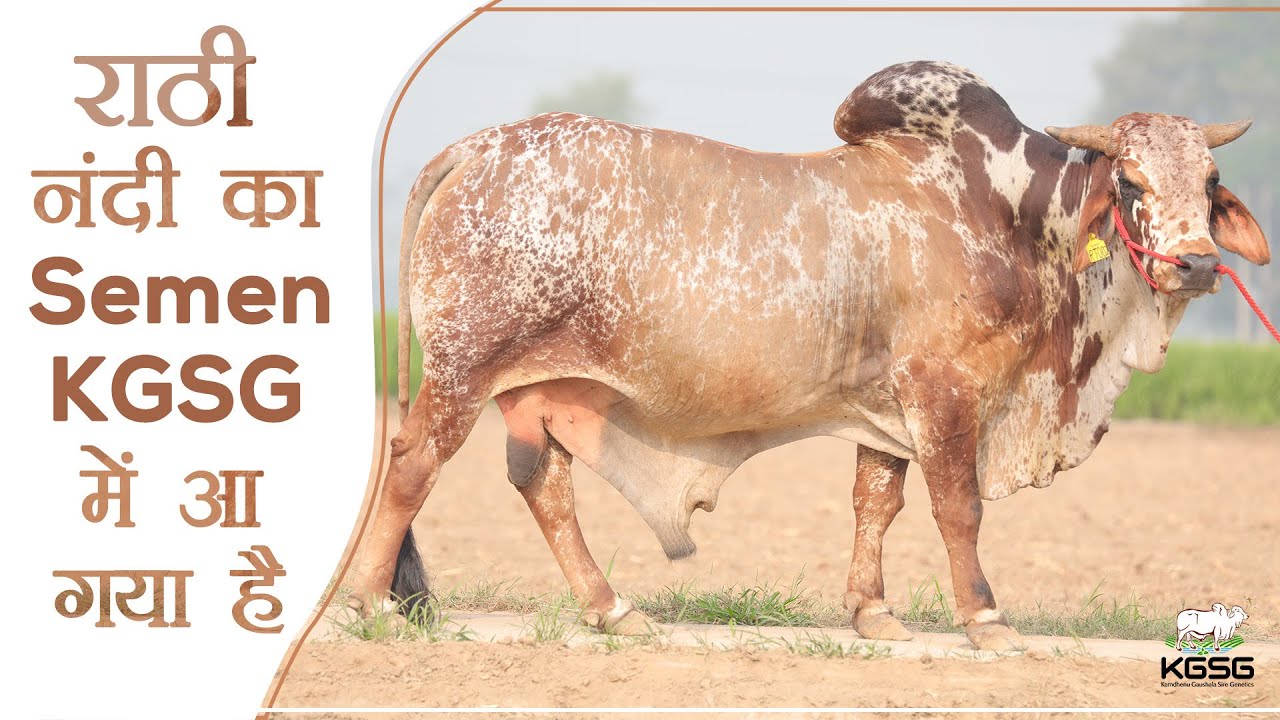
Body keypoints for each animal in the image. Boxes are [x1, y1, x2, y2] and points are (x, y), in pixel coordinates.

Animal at [347, 60, 1270, 651]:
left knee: (542, 485)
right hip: (462, 373)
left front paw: (872, 614)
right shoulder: (943, 391)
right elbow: (959, 509)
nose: (1196, 264)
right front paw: (987, 621)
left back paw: (613, 609)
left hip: (536, 388)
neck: (1009, 217)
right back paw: (369, 605)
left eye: (1211, 182)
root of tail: (478, 146)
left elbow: (876, 505)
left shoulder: (886, 410)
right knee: (413, 463)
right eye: (1132, 183)